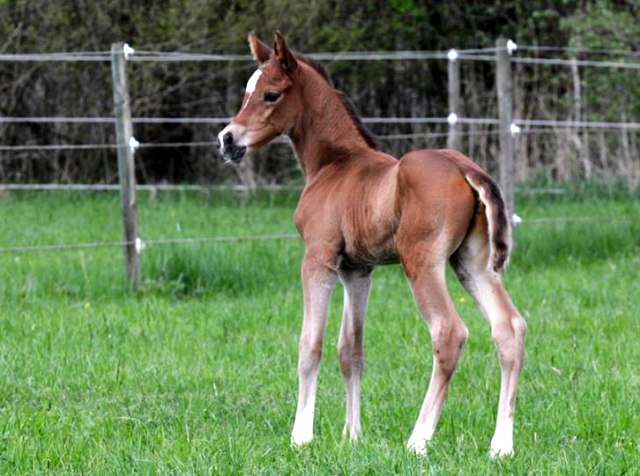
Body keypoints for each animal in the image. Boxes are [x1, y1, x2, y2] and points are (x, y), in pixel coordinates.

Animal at [218, 31, 528, 456]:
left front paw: (301, 436)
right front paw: (352, 437)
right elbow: (351, 351)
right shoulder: (357, 270)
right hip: (472, 263)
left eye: (271, 94)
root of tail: (465, 167)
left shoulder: (318, 259)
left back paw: (418, 439)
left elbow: (310, 345)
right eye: (247, 92)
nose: (227, 139)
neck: (334, 164)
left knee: (449, 332)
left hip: (422, 262)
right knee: (509, 329)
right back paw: (501, 447)